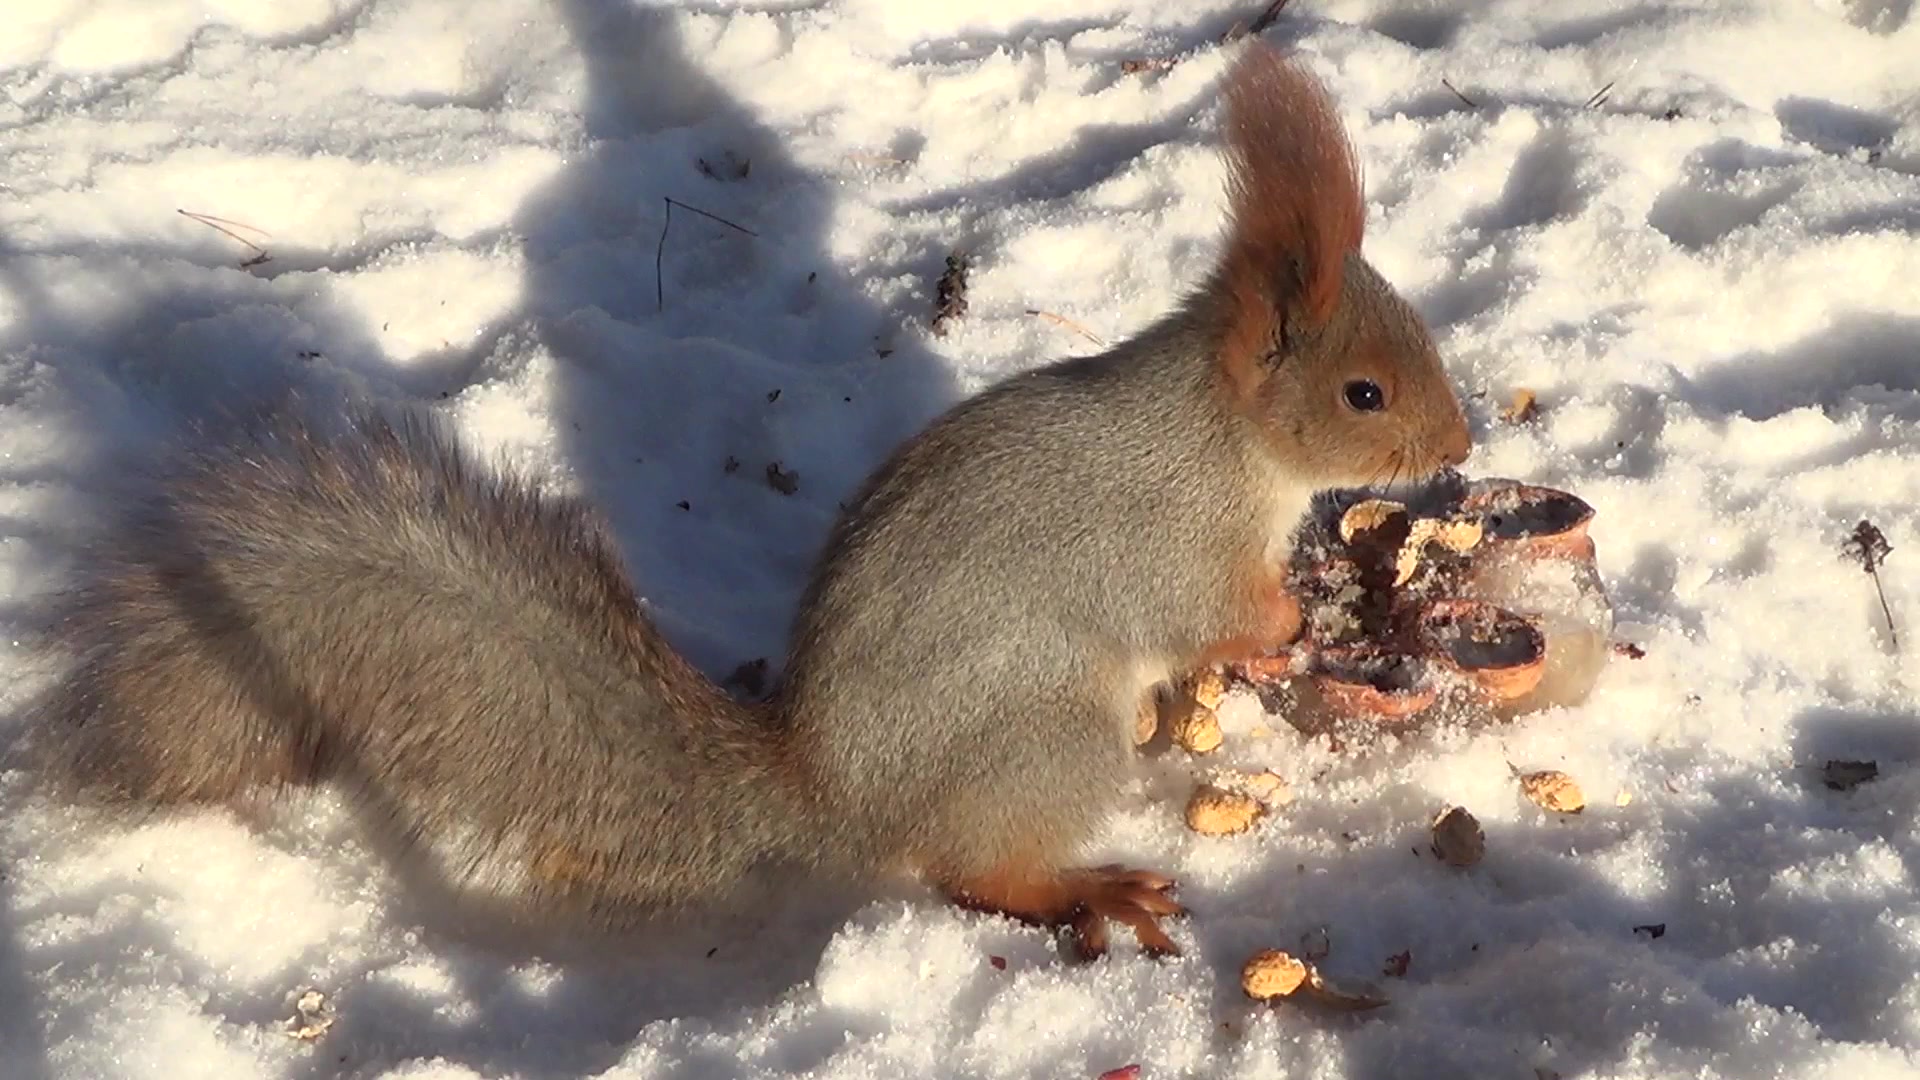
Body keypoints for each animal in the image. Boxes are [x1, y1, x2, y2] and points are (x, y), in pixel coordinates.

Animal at [22, 46, 1466, 957]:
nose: (1458, 437)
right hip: (1047, 736)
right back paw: (1085, 888)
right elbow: (1209, 609)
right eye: (1365, 395)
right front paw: (1289, 626)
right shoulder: (1173, 536)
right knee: (969, 870)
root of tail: (830, 800)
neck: (1225, 436)